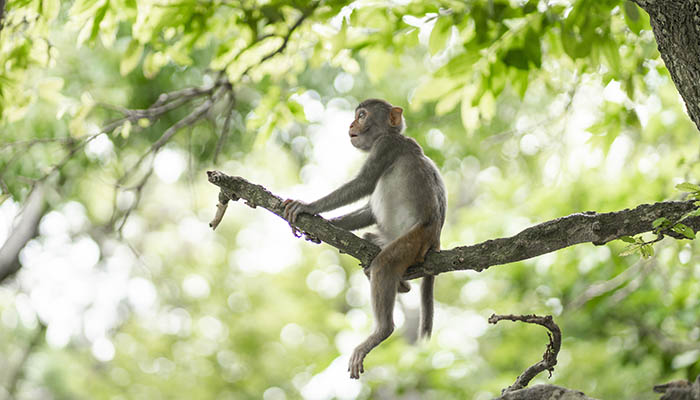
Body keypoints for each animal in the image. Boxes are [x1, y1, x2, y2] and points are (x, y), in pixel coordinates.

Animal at [282, 98, 446, 380]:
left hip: (414, 240)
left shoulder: (385, 147)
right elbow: (369, 210)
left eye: (362, 115)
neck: (390, 134)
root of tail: (435, 239)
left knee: (384, 264)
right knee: (373, 244)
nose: (351, 125)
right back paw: (402, 285)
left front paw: (308, 207)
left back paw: (382, 330)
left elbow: (363, 183)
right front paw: (326, 226)